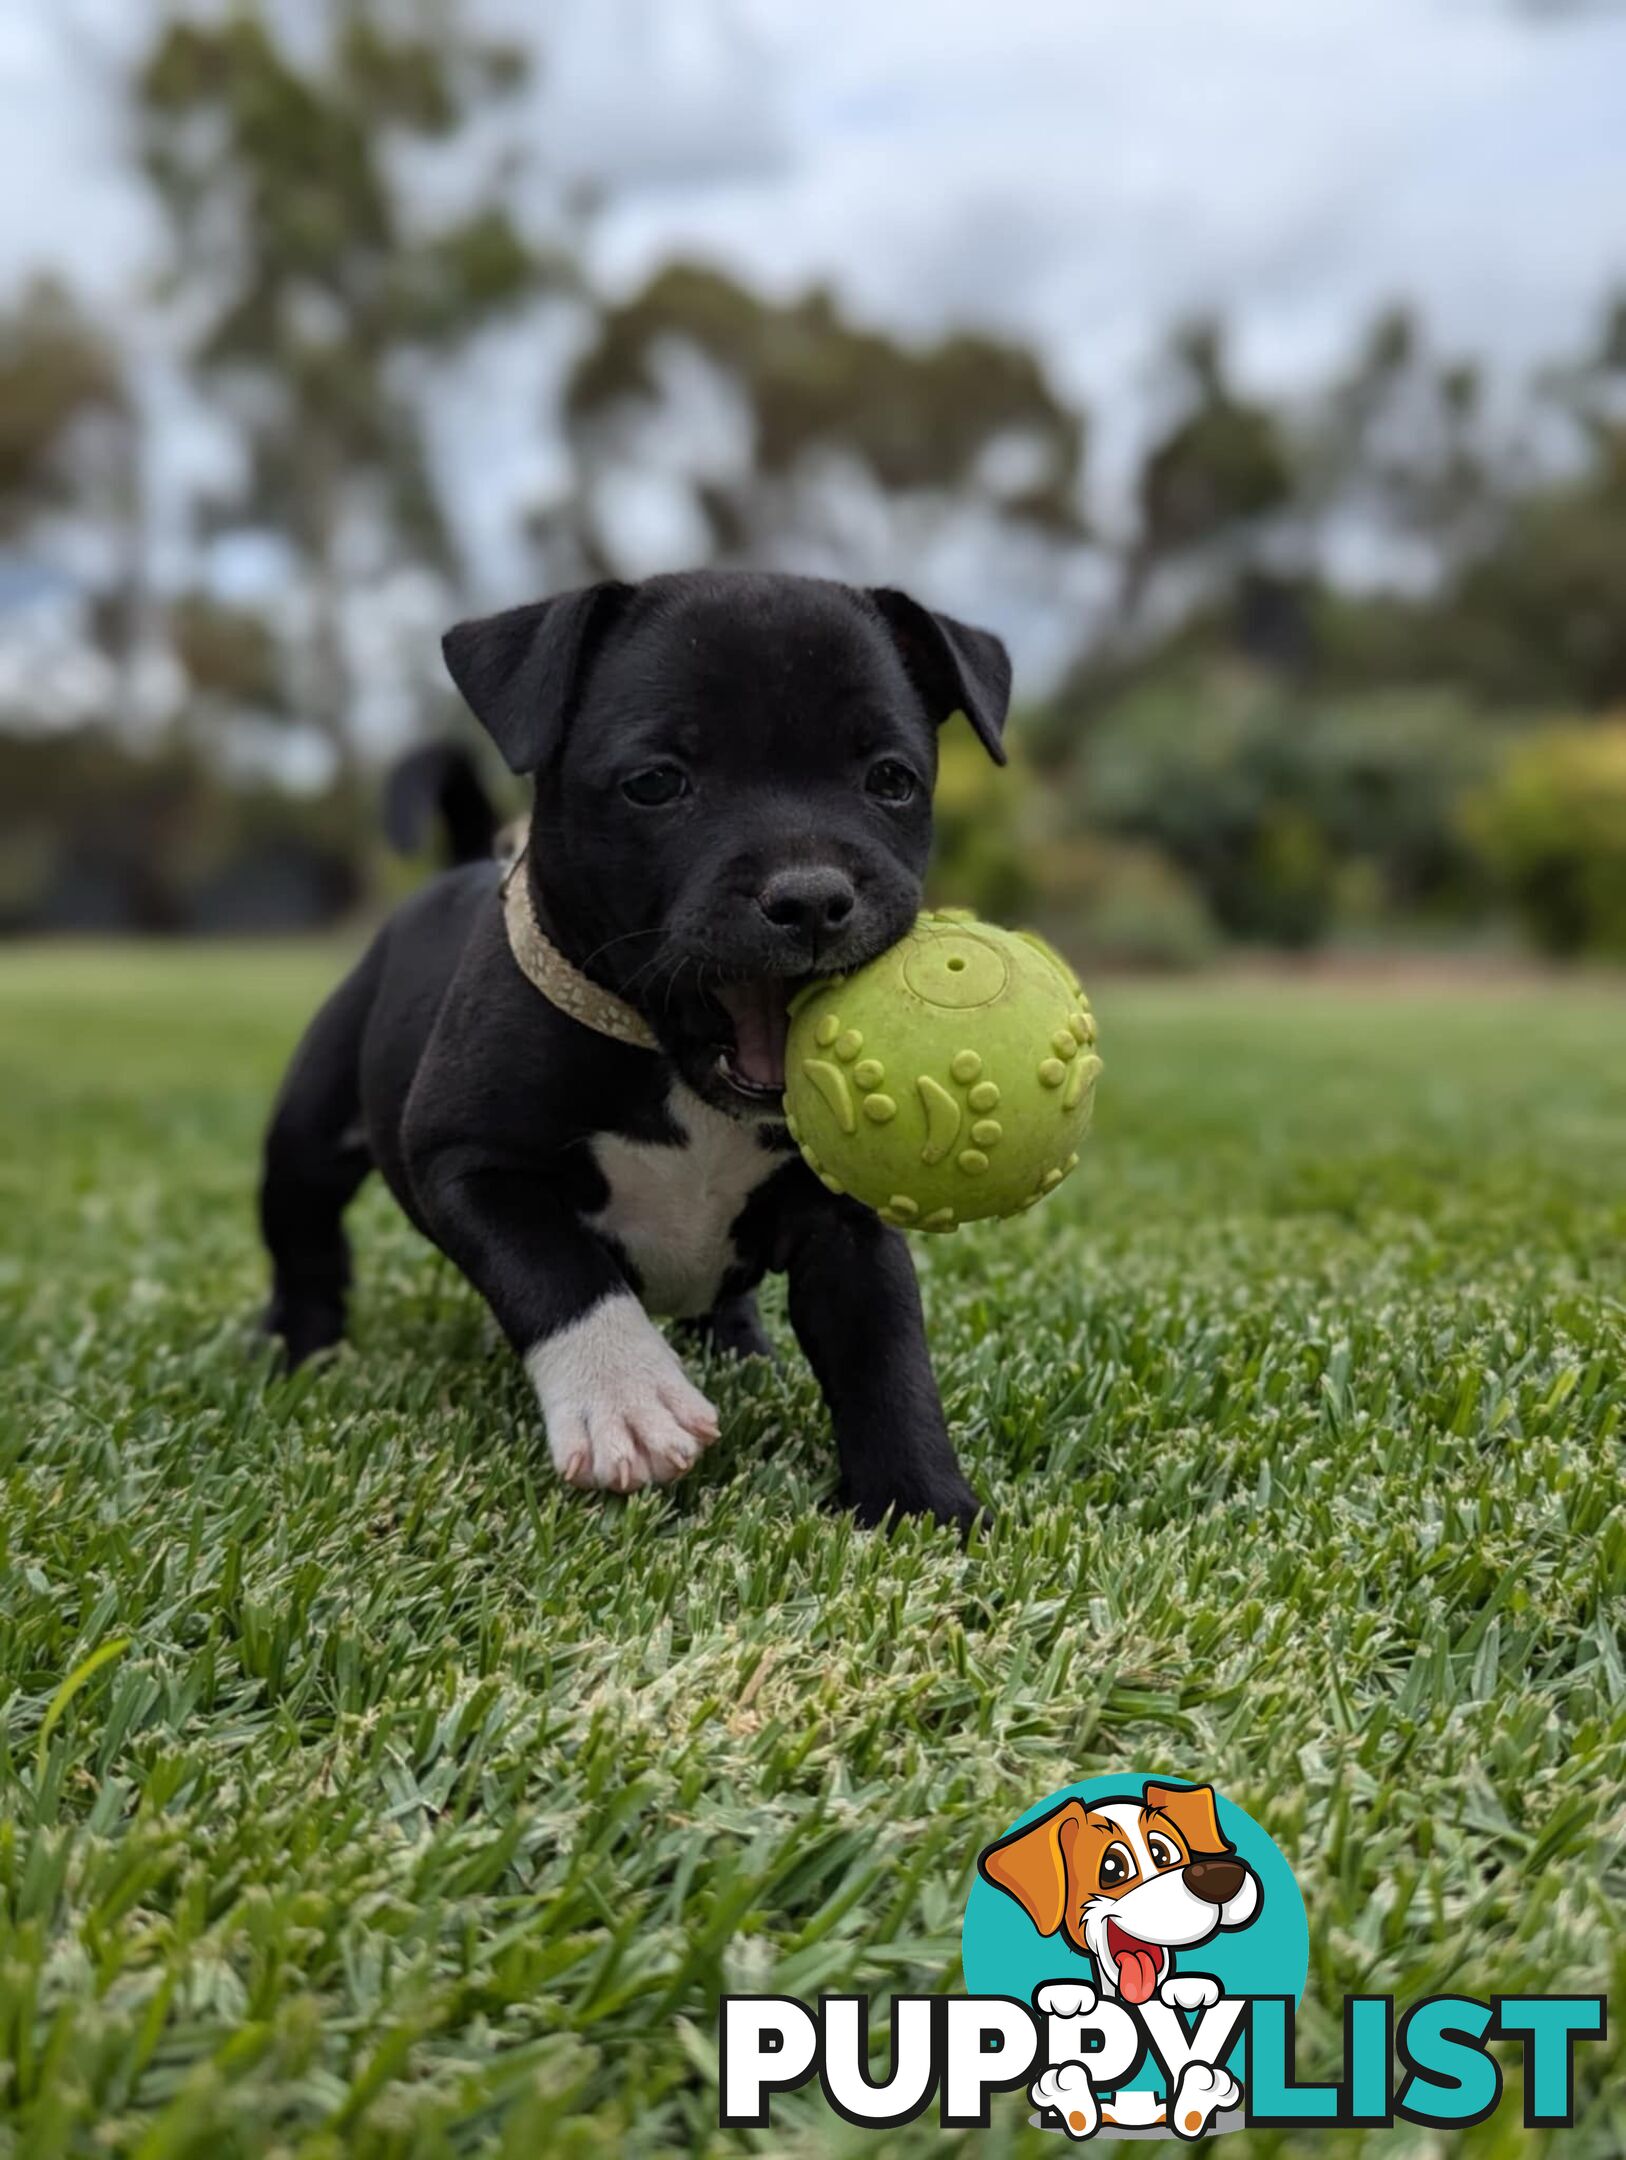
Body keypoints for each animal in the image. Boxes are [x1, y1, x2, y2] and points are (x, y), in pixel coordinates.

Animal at [258, 565, 1010, 1529]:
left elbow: (884, 1350)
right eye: (656, 784)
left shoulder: (849, 1223)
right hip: (309, 1134)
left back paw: (739, 1345)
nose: (811, 897)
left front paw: (922, 1503)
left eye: (891, 780)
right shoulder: (468, 1161)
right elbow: (558, 1269)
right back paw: (296, 1347)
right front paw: (625, 1396)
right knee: (305, 1235)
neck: (674, 1067)